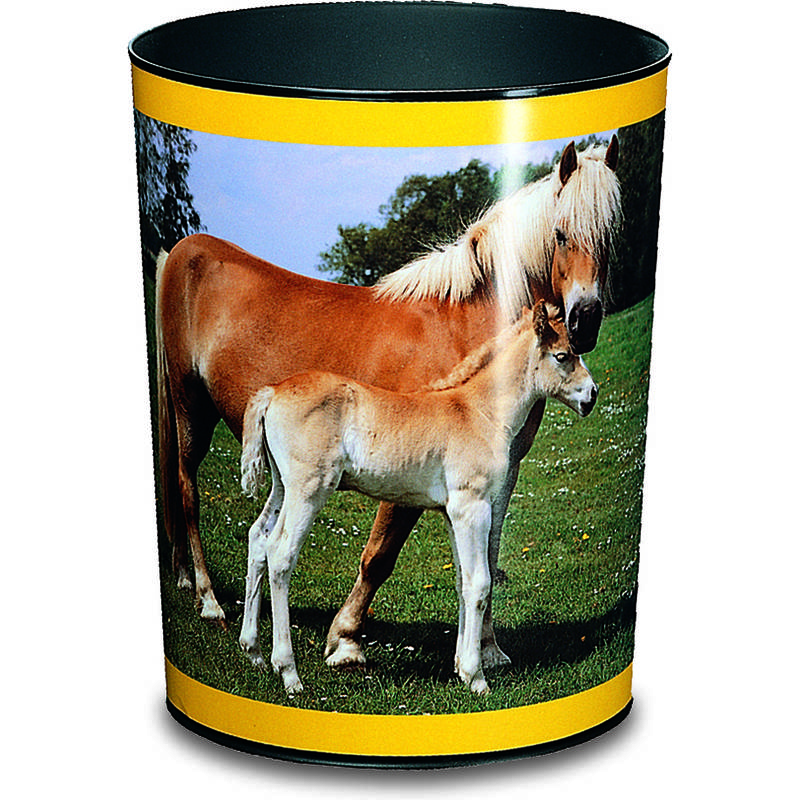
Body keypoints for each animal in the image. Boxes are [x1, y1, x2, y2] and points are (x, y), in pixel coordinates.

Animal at [154, 139, 620, 656]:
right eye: (560, 234)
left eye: (611, 233)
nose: (586, 321)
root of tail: (181, 251)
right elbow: (380, 555)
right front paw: (344, 638)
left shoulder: (499, 476)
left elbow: (486, 557)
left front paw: (488, 650)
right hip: (190, 409)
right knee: (187, 492)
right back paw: (208, 599)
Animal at [238, 301, 598, 695]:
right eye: (563, 356)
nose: (591, 395)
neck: (478, 412)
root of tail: (272, 392)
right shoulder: (472, 507)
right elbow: (480, 582)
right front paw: (476, 676)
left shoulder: (452, 513)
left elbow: (462, 581)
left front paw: (460, 666)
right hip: (308, 489)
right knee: (280, 554)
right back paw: (288, 672)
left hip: (281, 486)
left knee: (258, 539)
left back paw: (253, 652)